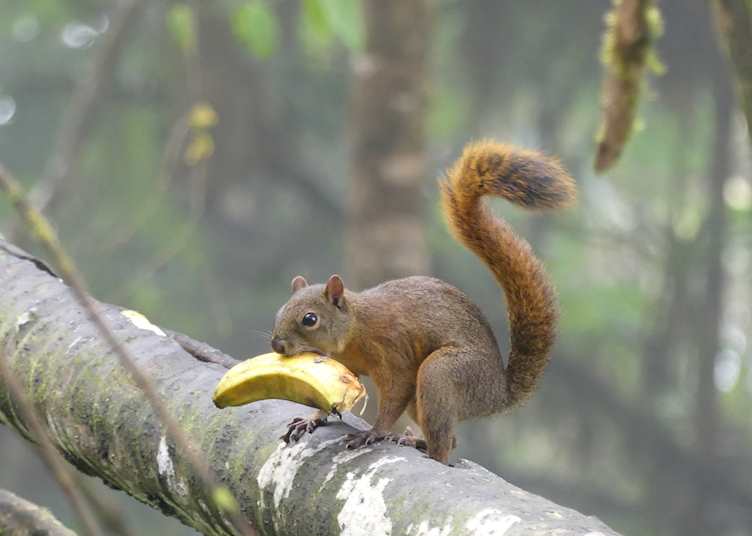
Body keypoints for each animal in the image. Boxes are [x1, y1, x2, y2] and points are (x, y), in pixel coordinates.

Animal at [271, 140, 576, 464]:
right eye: (280, 312)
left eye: (310, 319)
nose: (277, 345)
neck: (356, 328)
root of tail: (496, 394)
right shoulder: (345, 367)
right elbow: (330, 396)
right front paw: (312, 418)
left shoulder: (393, 353)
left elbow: (394, 394)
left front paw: (374, 431)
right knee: (451, 440)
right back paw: (414, 440)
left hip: (442, 375)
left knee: (443, 446)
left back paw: (425, 449)